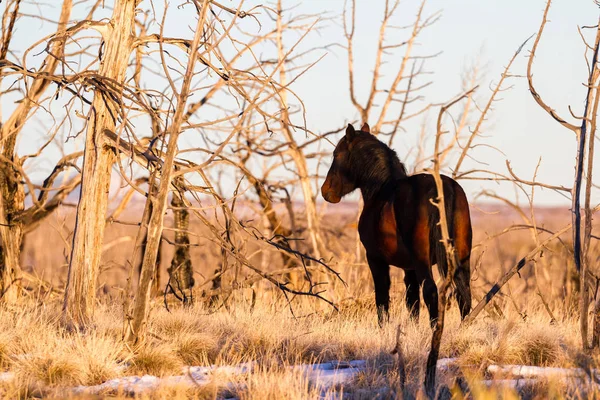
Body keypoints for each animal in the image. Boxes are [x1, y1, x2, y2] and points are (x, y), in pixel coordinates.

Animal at [322, 123, 472, 326]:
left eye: (336, 154)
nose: (326, 191)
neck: (381, 189)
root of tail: (444, 190)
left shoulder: (375, 259)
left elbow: (382, 298)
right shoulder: (409, 268)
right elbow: (412, 303)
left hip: (423, 261)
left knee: (431, 292)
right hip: (461, 257)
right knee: (464, 295)